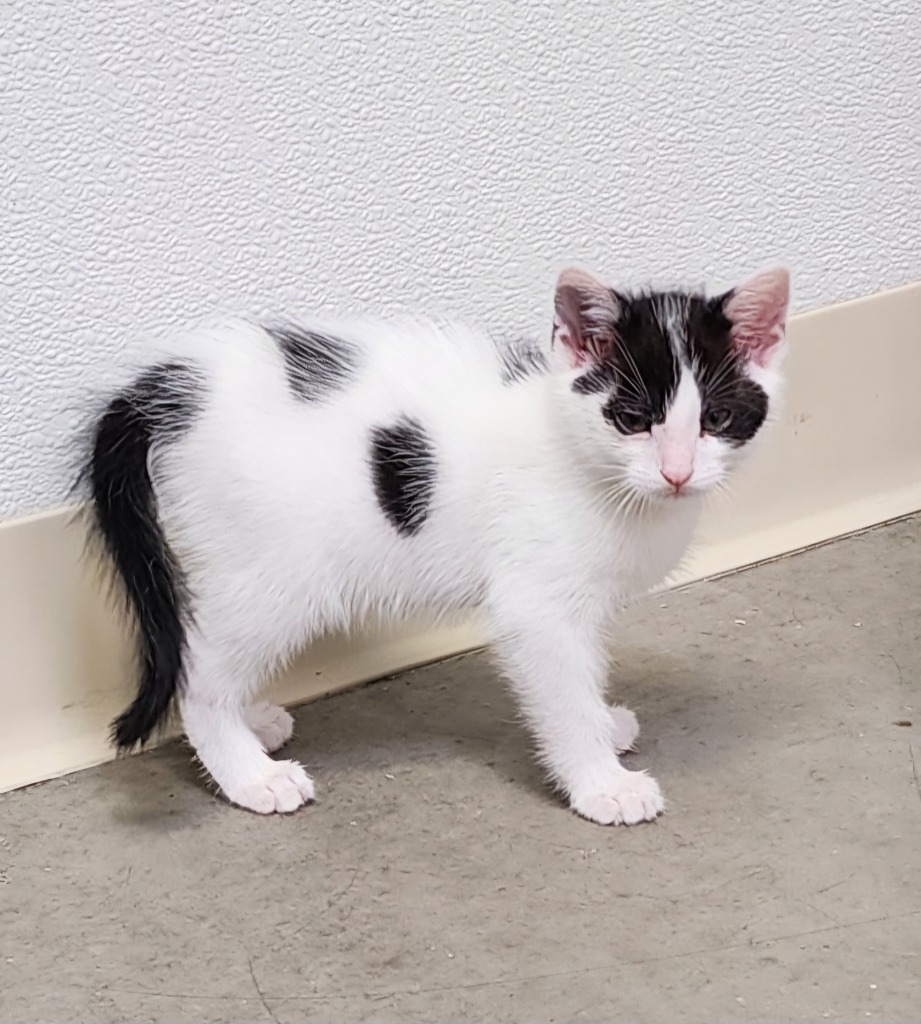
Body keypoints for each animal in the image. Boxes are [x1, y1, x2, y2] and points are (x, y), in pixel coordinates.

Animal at [77, 266, 790, 823]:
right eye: (633, 419)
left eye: (717, 419)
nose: (677, 472)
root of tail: (160, 388)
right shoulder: (536, 605)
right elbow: (561, 691)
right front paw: (602, 784)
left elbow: (584, 675)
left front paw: (604, 729)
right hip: (273, 574)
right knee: (199, 676)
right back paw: (251, 775)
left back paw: (253, 724)